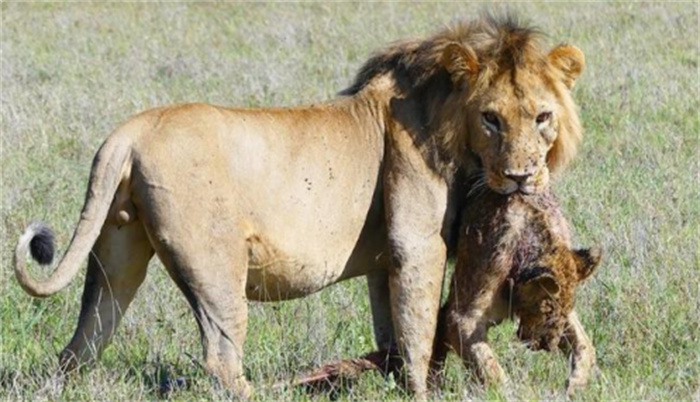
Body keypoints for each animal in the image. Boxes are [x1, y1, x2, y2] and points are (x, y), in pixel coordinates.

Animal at [15, 14, 584, 396]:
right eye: (491, 118)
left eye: (542, 116)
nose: (521, 176)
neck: (446, 120)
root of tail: (128, 133)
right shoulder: (417, 243)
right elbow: (420, 332)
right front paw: (426, 392)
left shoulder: (385, 259)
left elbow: (393, 331)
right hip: (214, 265)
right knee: (221, 357)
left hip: (117, 252)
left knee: (82, 343)